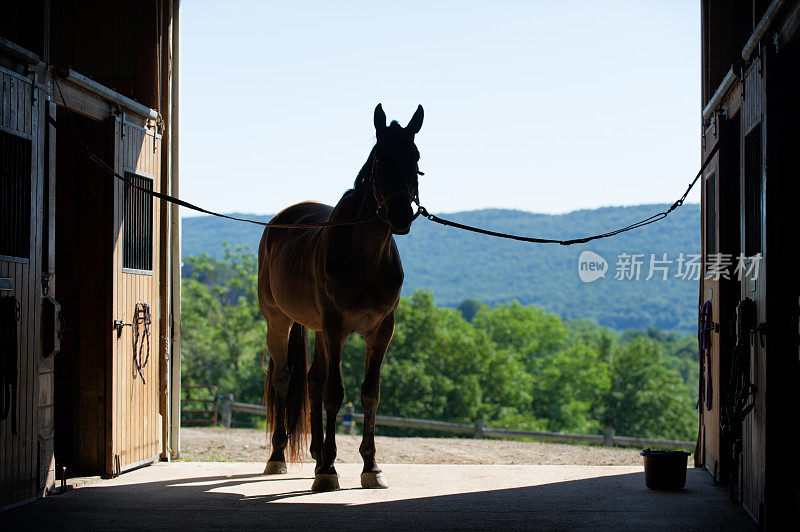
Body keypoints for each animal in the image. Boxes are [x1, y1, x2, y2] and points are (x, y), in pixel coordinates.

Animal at [260, 103, 424, 490]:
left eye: (415, 158)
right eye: (380, 159)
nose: (400, 215)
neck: (365, 255)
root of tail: (279, 222)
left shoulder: (380, 331)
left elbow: (369, 393)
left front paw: (371, 467)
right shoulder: (336, 326)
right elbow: (335, 392)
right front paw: (329, 472)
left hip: (319, 330)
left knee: (312, 380)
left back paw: (318, 452)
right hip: (279, 321)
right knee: (285, 379)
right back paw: (279, 457)